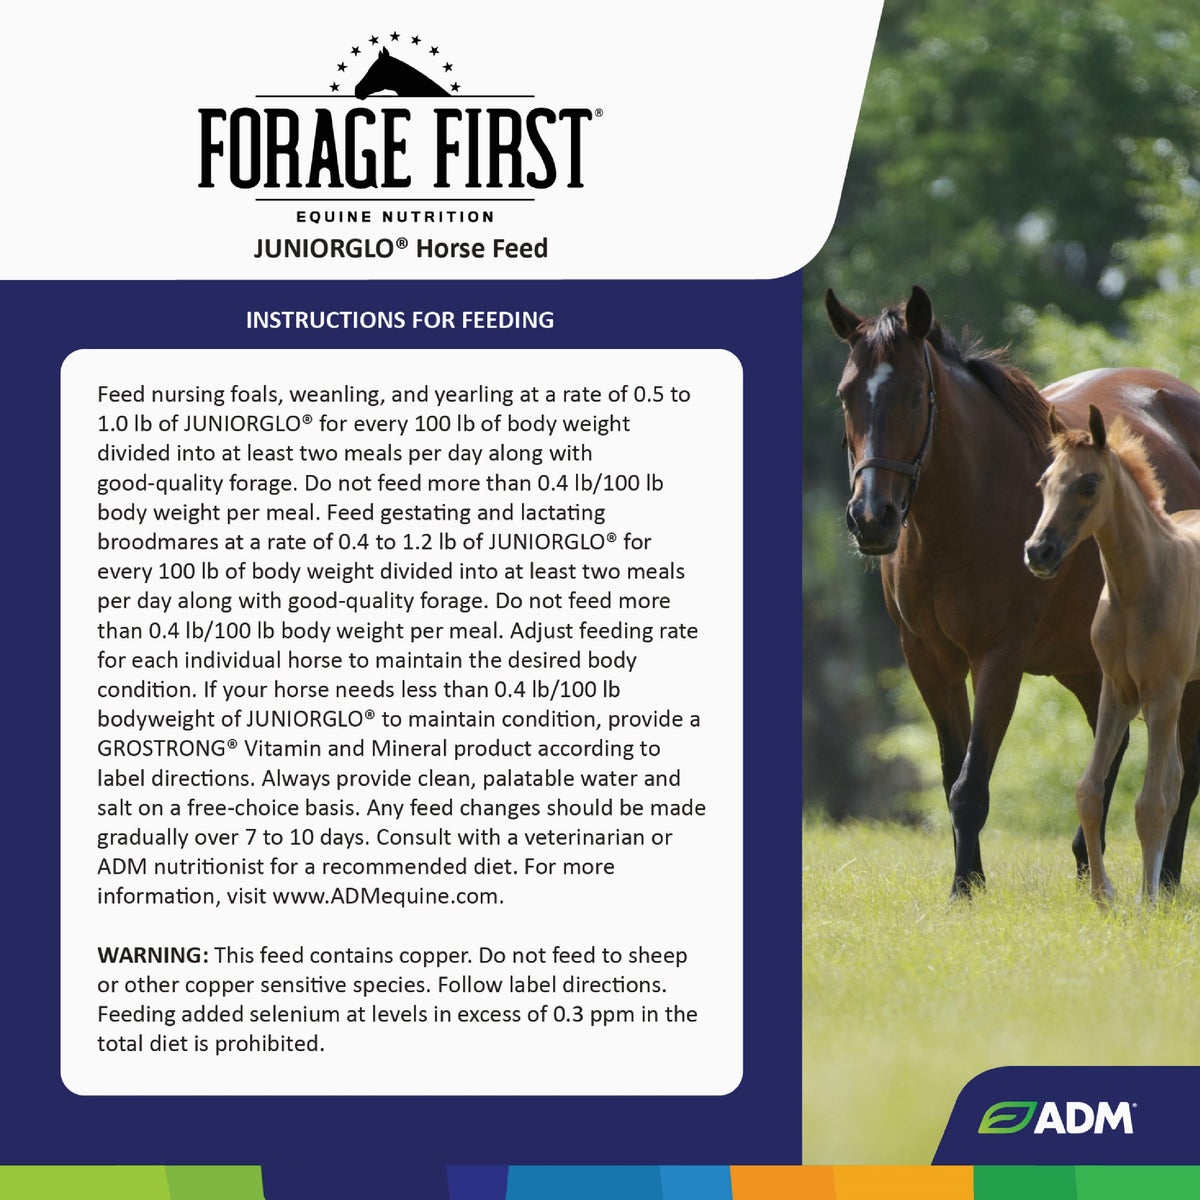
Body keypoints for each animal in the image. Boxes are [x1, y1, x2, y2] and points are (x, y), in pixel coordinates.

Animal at [1025, 406, 1200, 903]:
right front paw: (1104, 895)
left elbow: (1150, 803)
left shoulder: (1162, 694)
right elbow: (1090, 791)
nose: (1038, 551)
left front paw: (1146, 900)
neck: (1138, 587)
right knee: (1176, 778)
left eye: (1088, 483)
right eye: (1044, 482)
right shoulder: (1116, 691)